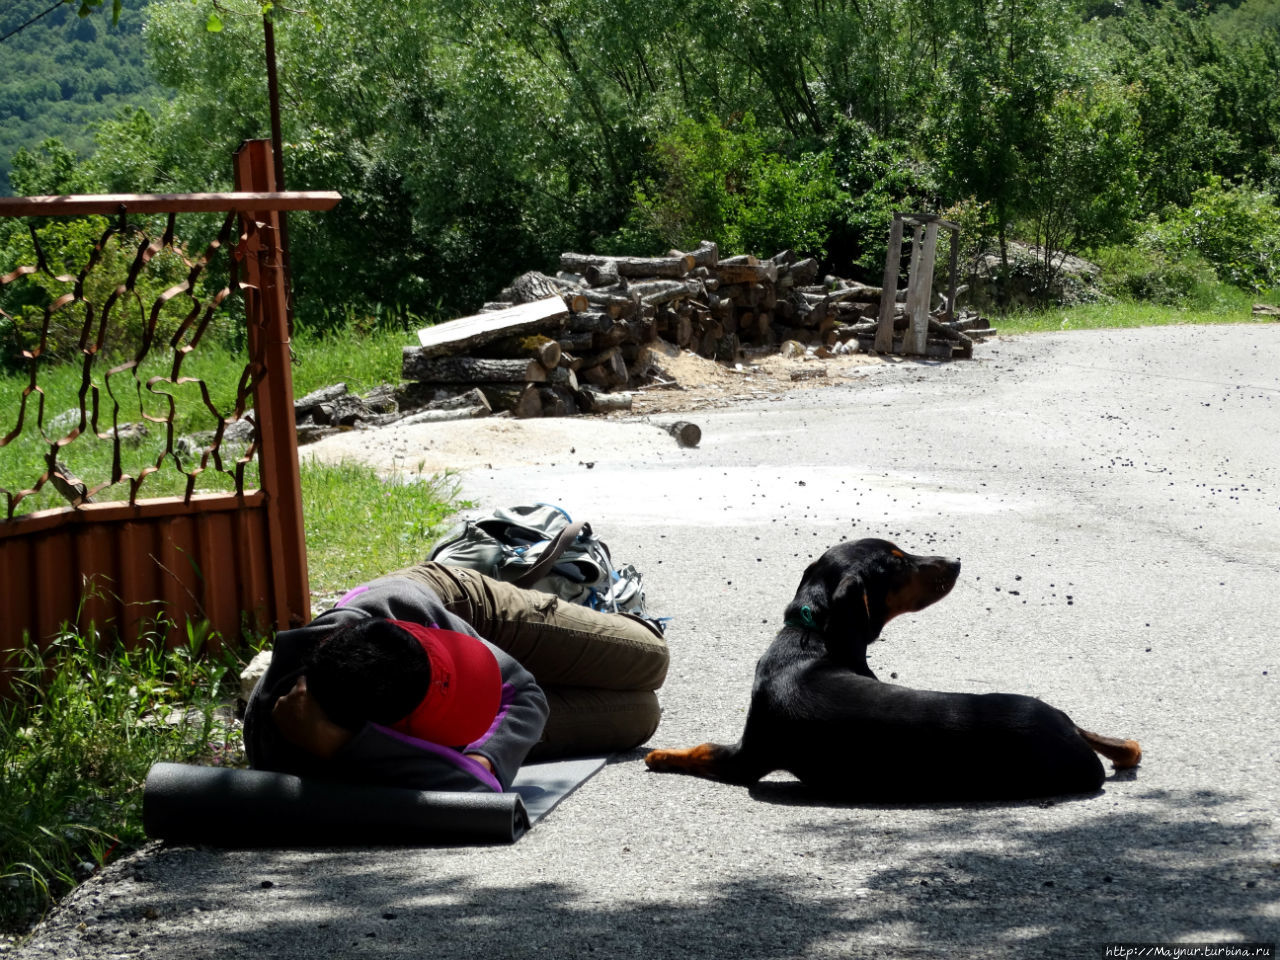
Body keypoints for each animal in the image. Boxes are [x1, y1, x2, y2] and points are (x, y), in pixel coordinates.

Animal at [645, 542, 1146, 803]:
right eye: (899, 562)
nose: (957, 561)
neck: (811, 639)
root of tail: (1069, 732)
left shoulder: (749, 757)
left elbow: (701, 749)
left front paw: (660, 756)